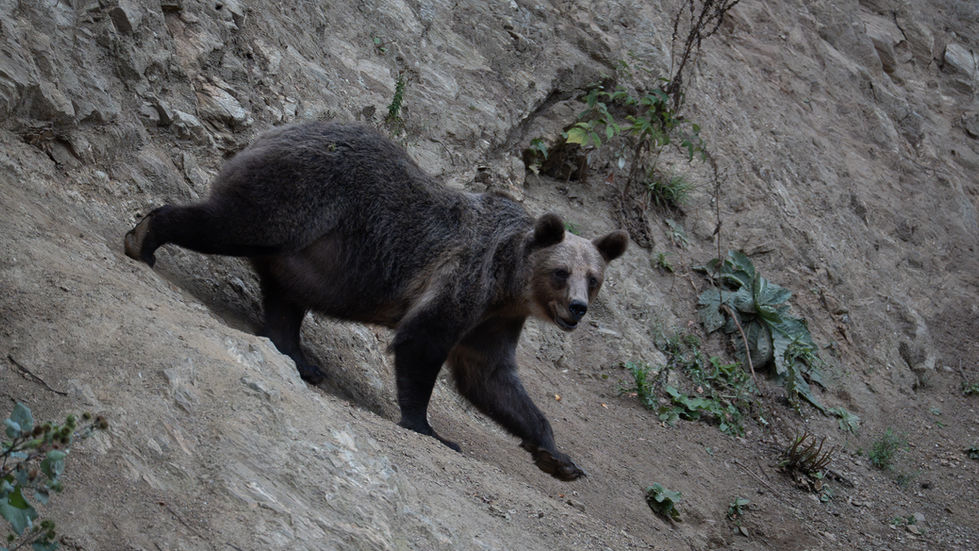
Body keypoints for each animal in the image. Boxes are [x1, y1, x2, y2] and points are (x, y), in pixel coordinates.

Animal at [125, 122, 628, 480]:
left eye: (594, 279)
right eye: (561, 272)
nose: (577, 310)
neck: (509, 282)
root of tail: (270, 132)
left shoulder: (496, 319)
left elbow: (490, 377)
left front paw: (557, 456)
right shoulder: (466, 279)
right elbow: (423, 342)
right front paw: (428, 427)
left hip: (308, 256)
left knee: (285, 299)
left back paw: (301, 360)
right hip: (299, 195)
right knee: (234, 222)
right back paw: (144, 237)